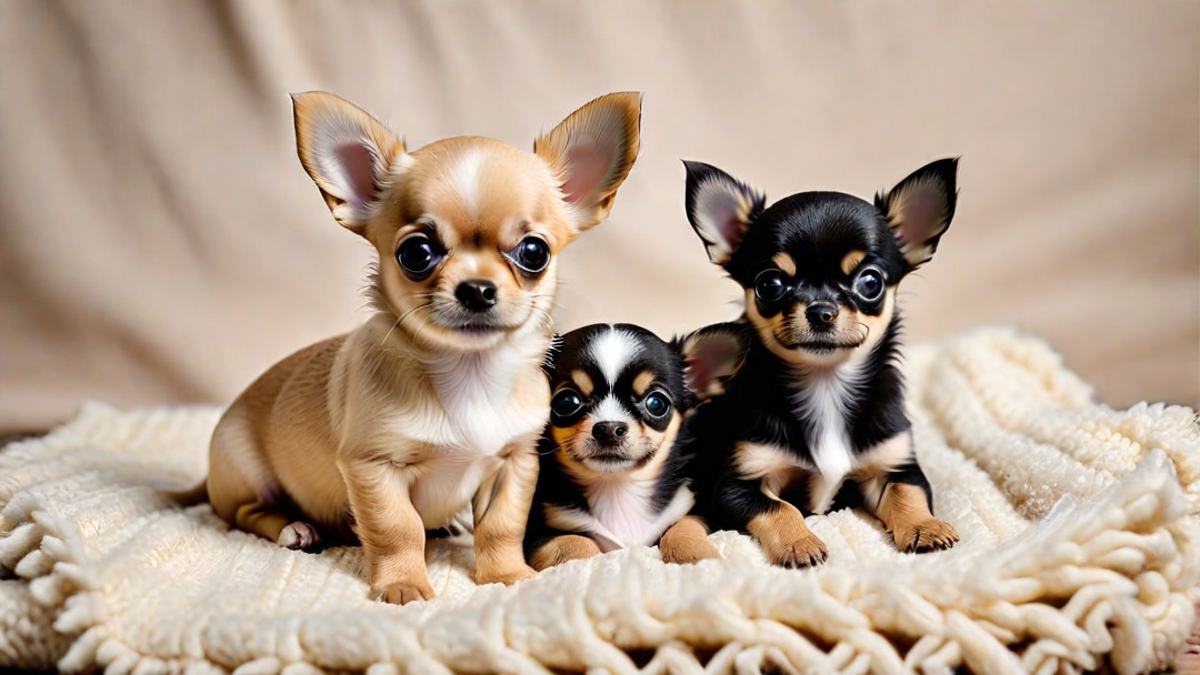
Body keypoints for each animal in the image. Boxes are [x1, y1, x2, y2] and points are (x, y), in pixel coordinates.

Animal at [201, 91, 643, 600]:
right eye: (416, 253)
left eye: (534, 253)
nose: (477, 288)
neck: (469, 373)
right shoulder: (374, 466)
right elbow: (398, 528)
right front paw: (403, 585)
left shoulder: (513, 464)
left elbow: (501, 526)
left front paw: (505, 574)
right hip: (248, 472)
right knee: (247, 513)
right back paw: (296, 529)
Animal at [523, 319, 744, 566]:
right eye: (567, 402)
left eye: (656, 403)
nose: (609, 428)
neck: (616, 487)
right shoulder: (537, 531)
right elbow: (572, 542)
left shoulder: (696, 511)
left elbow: (683, 526)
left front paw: (699, 556)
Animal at [676, 156, 964, 562]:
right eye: (769, 285)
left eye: (871, 282)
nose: (820, 310)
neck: (825, 383)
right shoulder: (736, 485)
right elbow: (781, 508)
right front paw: (800, 543)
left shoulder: (895, 464)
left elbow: (908, 491)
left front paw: (925, 527)